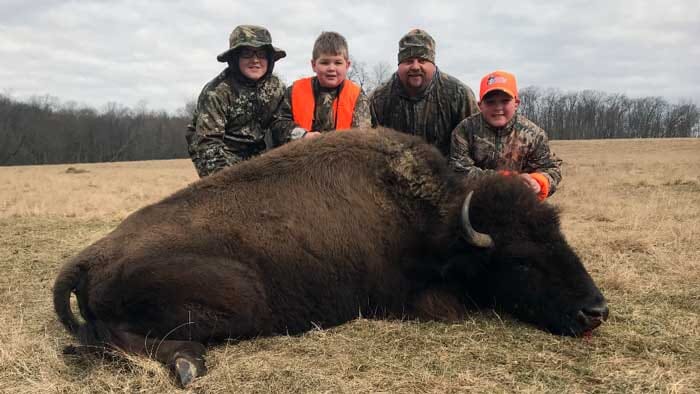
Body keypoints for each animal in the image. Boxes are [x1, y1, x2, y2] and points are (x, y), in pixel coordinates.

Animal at [54, 127, 608, 386]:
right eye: (520, 259)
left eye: (559, 237)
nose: (595, 312)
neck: (435, 221)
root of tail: (89, 256)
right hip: (241, 299)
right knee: (110, 338)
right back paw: (190, 364)